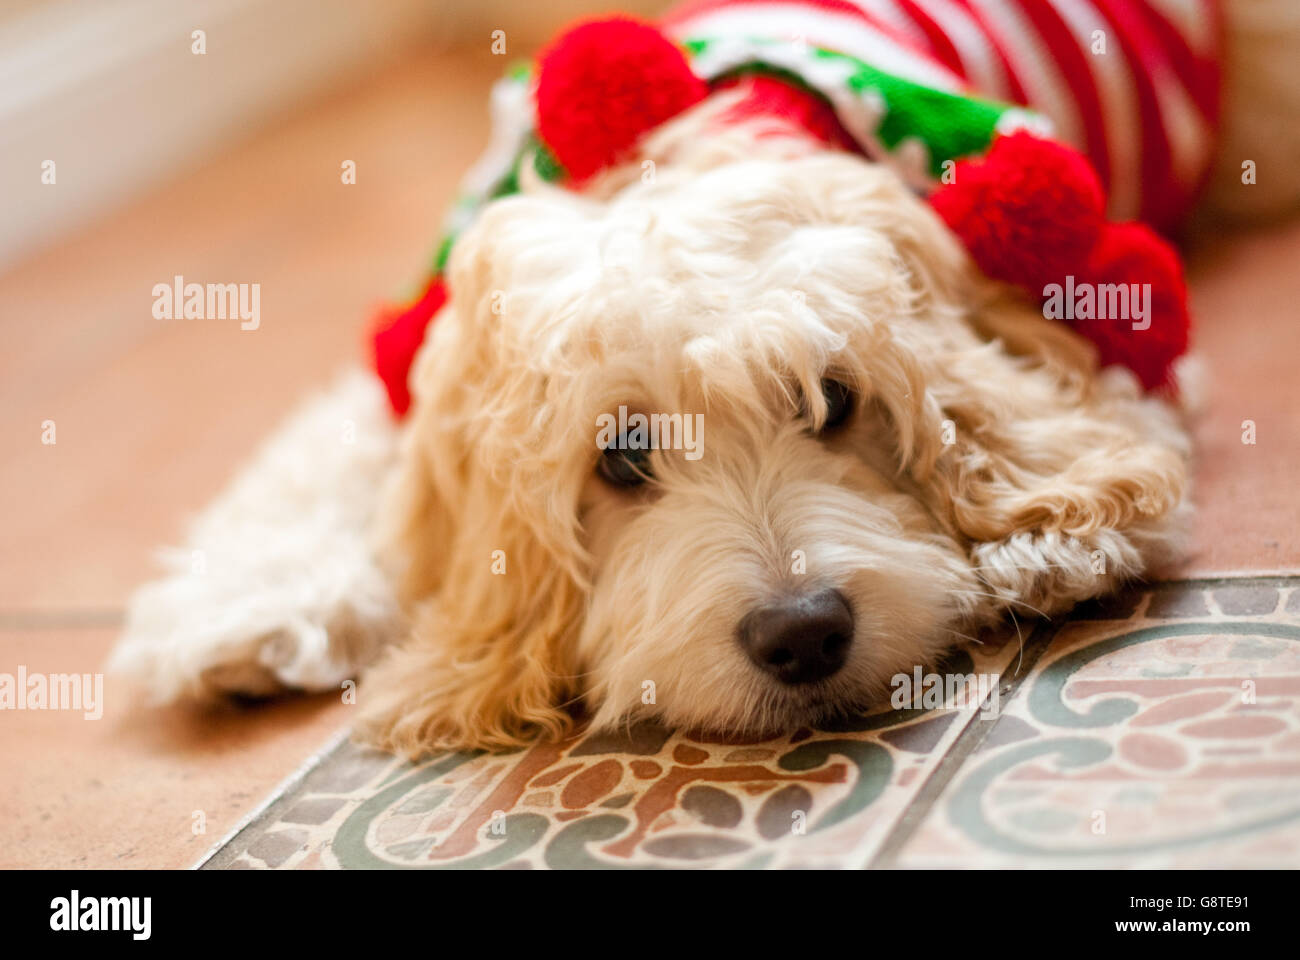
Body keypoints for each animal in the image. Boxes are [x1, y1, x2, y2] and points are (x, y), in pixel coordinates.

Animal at [111, 3, 1300, 759]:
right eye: (621, 457)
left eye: (833, 401)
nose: (804, 633)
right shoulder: (410, 362)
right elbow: (333, 462)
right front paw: (249, 611)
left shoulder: (1073, 312)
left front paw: (1049, 538)